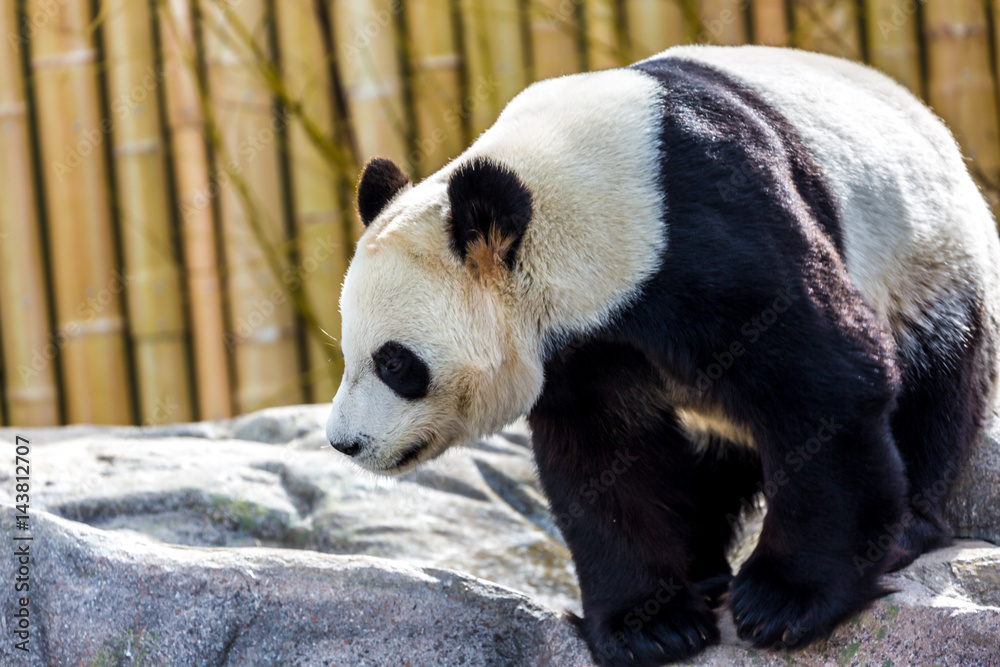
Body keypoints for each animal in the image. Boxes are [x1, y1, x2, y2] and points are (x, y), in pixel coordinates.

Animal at [326, 45, 1000, 665]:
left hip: (927, 257)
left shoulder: (713, 233)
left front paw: (783, 602)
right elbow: (605, 456)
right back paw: (705, 569)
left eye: (395, 363)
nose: (344, 443)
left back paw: (908, 525)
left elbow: (825, 381)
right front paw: (651, 625)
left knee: (934, 381)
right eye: (351, 352)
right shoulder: (582, 348)